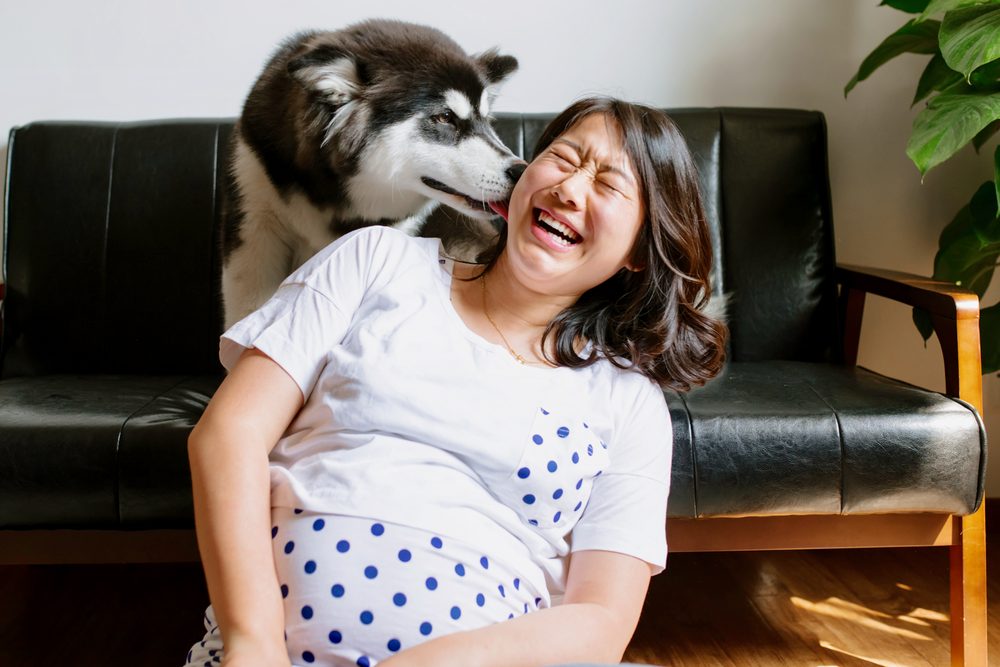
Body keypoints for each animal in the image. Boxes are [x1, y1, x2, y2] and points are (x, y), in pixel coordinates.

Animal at [223, 21, 524, 332]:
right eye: (444, 117)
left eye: (486, 120)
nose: (520, 171)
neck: (335, 197)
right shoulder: (255, 223)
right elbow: (248, 309)